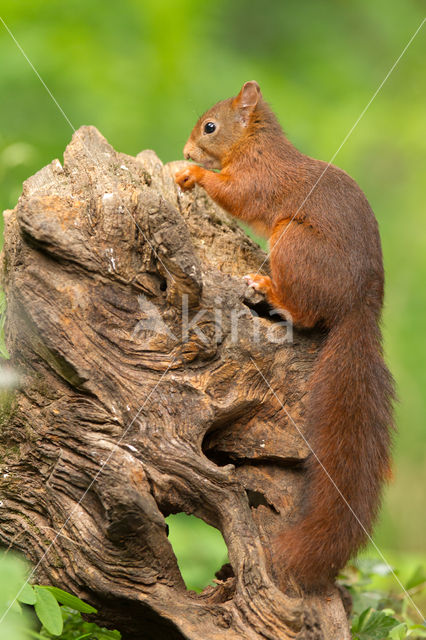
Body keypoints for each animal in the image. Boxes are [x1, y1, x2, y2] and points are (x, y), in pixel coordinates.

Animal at [175, 82, 394, 592]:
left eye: (210, 126)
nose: (188, 149)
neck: (254, 146)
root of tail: (360, 306)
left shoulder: (257, 181)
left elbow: (233, 195)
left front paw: (190, 172)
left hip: (292, 241)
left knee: (308, 315)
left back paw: (268, 288)